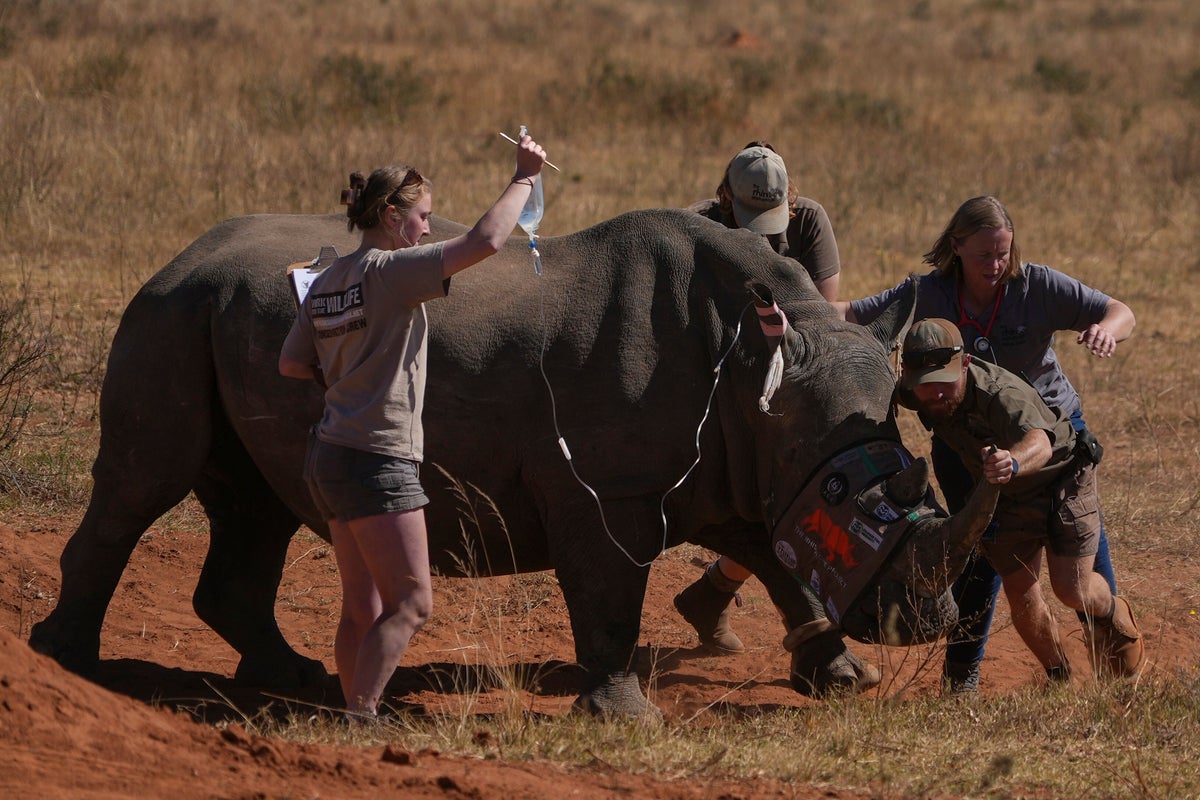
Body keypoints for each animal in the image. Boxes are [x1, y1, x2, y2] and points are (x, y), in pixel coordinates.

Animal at [30, 208, 998, 718]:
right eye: (849, 494)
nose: (926, 624)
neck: (759, 368)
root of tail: (179, 253)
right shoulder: (612, 489)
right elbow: (610, 591)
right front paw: (625, 719)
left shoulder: (750, 468)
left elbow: (785, 565)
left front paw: (843, 680)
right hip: (169, 311)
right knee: (143, 483)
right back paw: (68, 664)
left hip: (219, 316)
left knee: (257, 505)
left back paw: (290, 679)